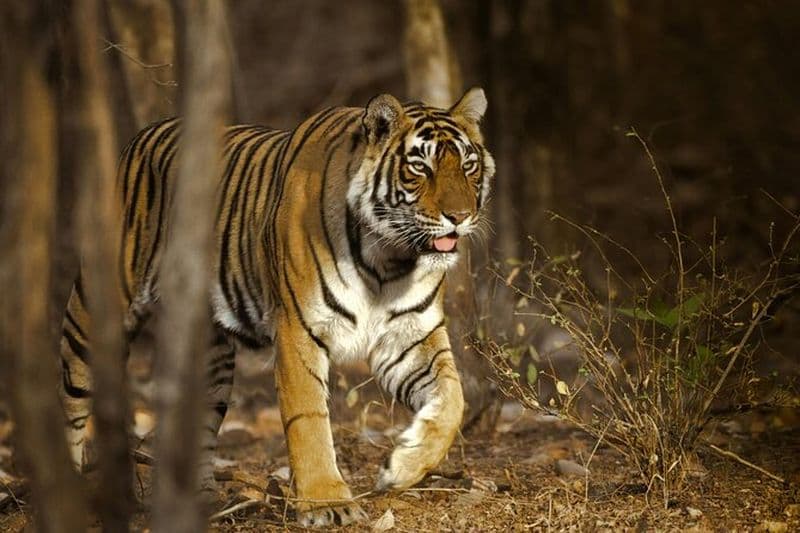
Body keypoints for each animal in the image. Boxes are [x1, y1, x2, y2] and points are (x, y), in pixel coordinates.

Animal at [58, 87, 494, 527]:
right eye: (419, 167)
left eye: (469, 165)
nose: (459, 217)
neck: (389, 260)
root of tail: (140, 136)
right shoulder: (300, 330)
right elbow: (309, 419)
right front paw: (326, 502)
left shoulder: (410, 336)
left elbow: (453, 399)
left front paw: (403, 466)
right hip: (95, 313)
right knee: (70, 401)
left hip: (211, 357)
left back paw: (202, 501)